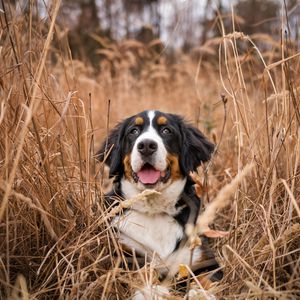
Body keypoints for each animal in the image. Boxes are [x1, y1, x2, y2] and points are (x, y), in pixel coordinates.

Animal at [97, 110, 221, 300]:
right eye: (133, 131)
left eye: (166, 131)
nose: (147, 145)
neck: (154, 210)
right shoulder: (125, 254)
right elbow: (139, 273)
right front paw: (152, 290)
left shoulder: (203, 258)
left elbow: (205, 279)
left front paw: (201, 294)